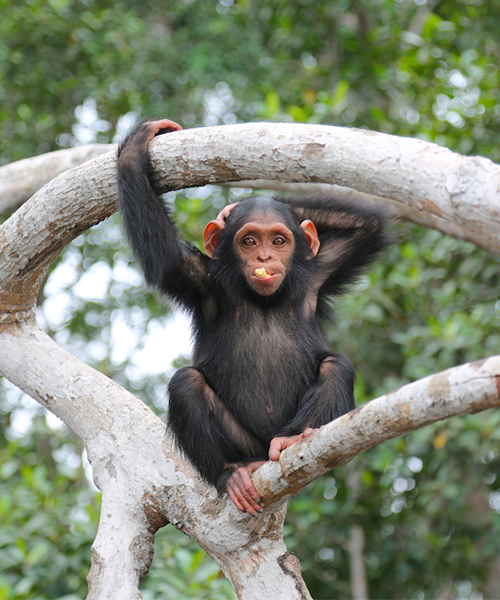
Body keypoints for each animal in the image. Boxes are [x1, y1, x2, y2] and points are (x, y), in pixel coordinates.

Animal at [116, 119, 386, 512]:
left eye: (278, 241)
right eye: (249, 241)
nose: (263, 258)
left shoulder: (323, 268)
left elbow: (368, 224)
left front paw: (230, 209)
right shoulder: (199, 279)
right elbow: (167, 259)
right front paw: (136, 148)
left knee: (337, 366)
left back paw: (291, 441)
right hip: (244, 443)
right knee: (186, 383)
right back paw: (232, 472)